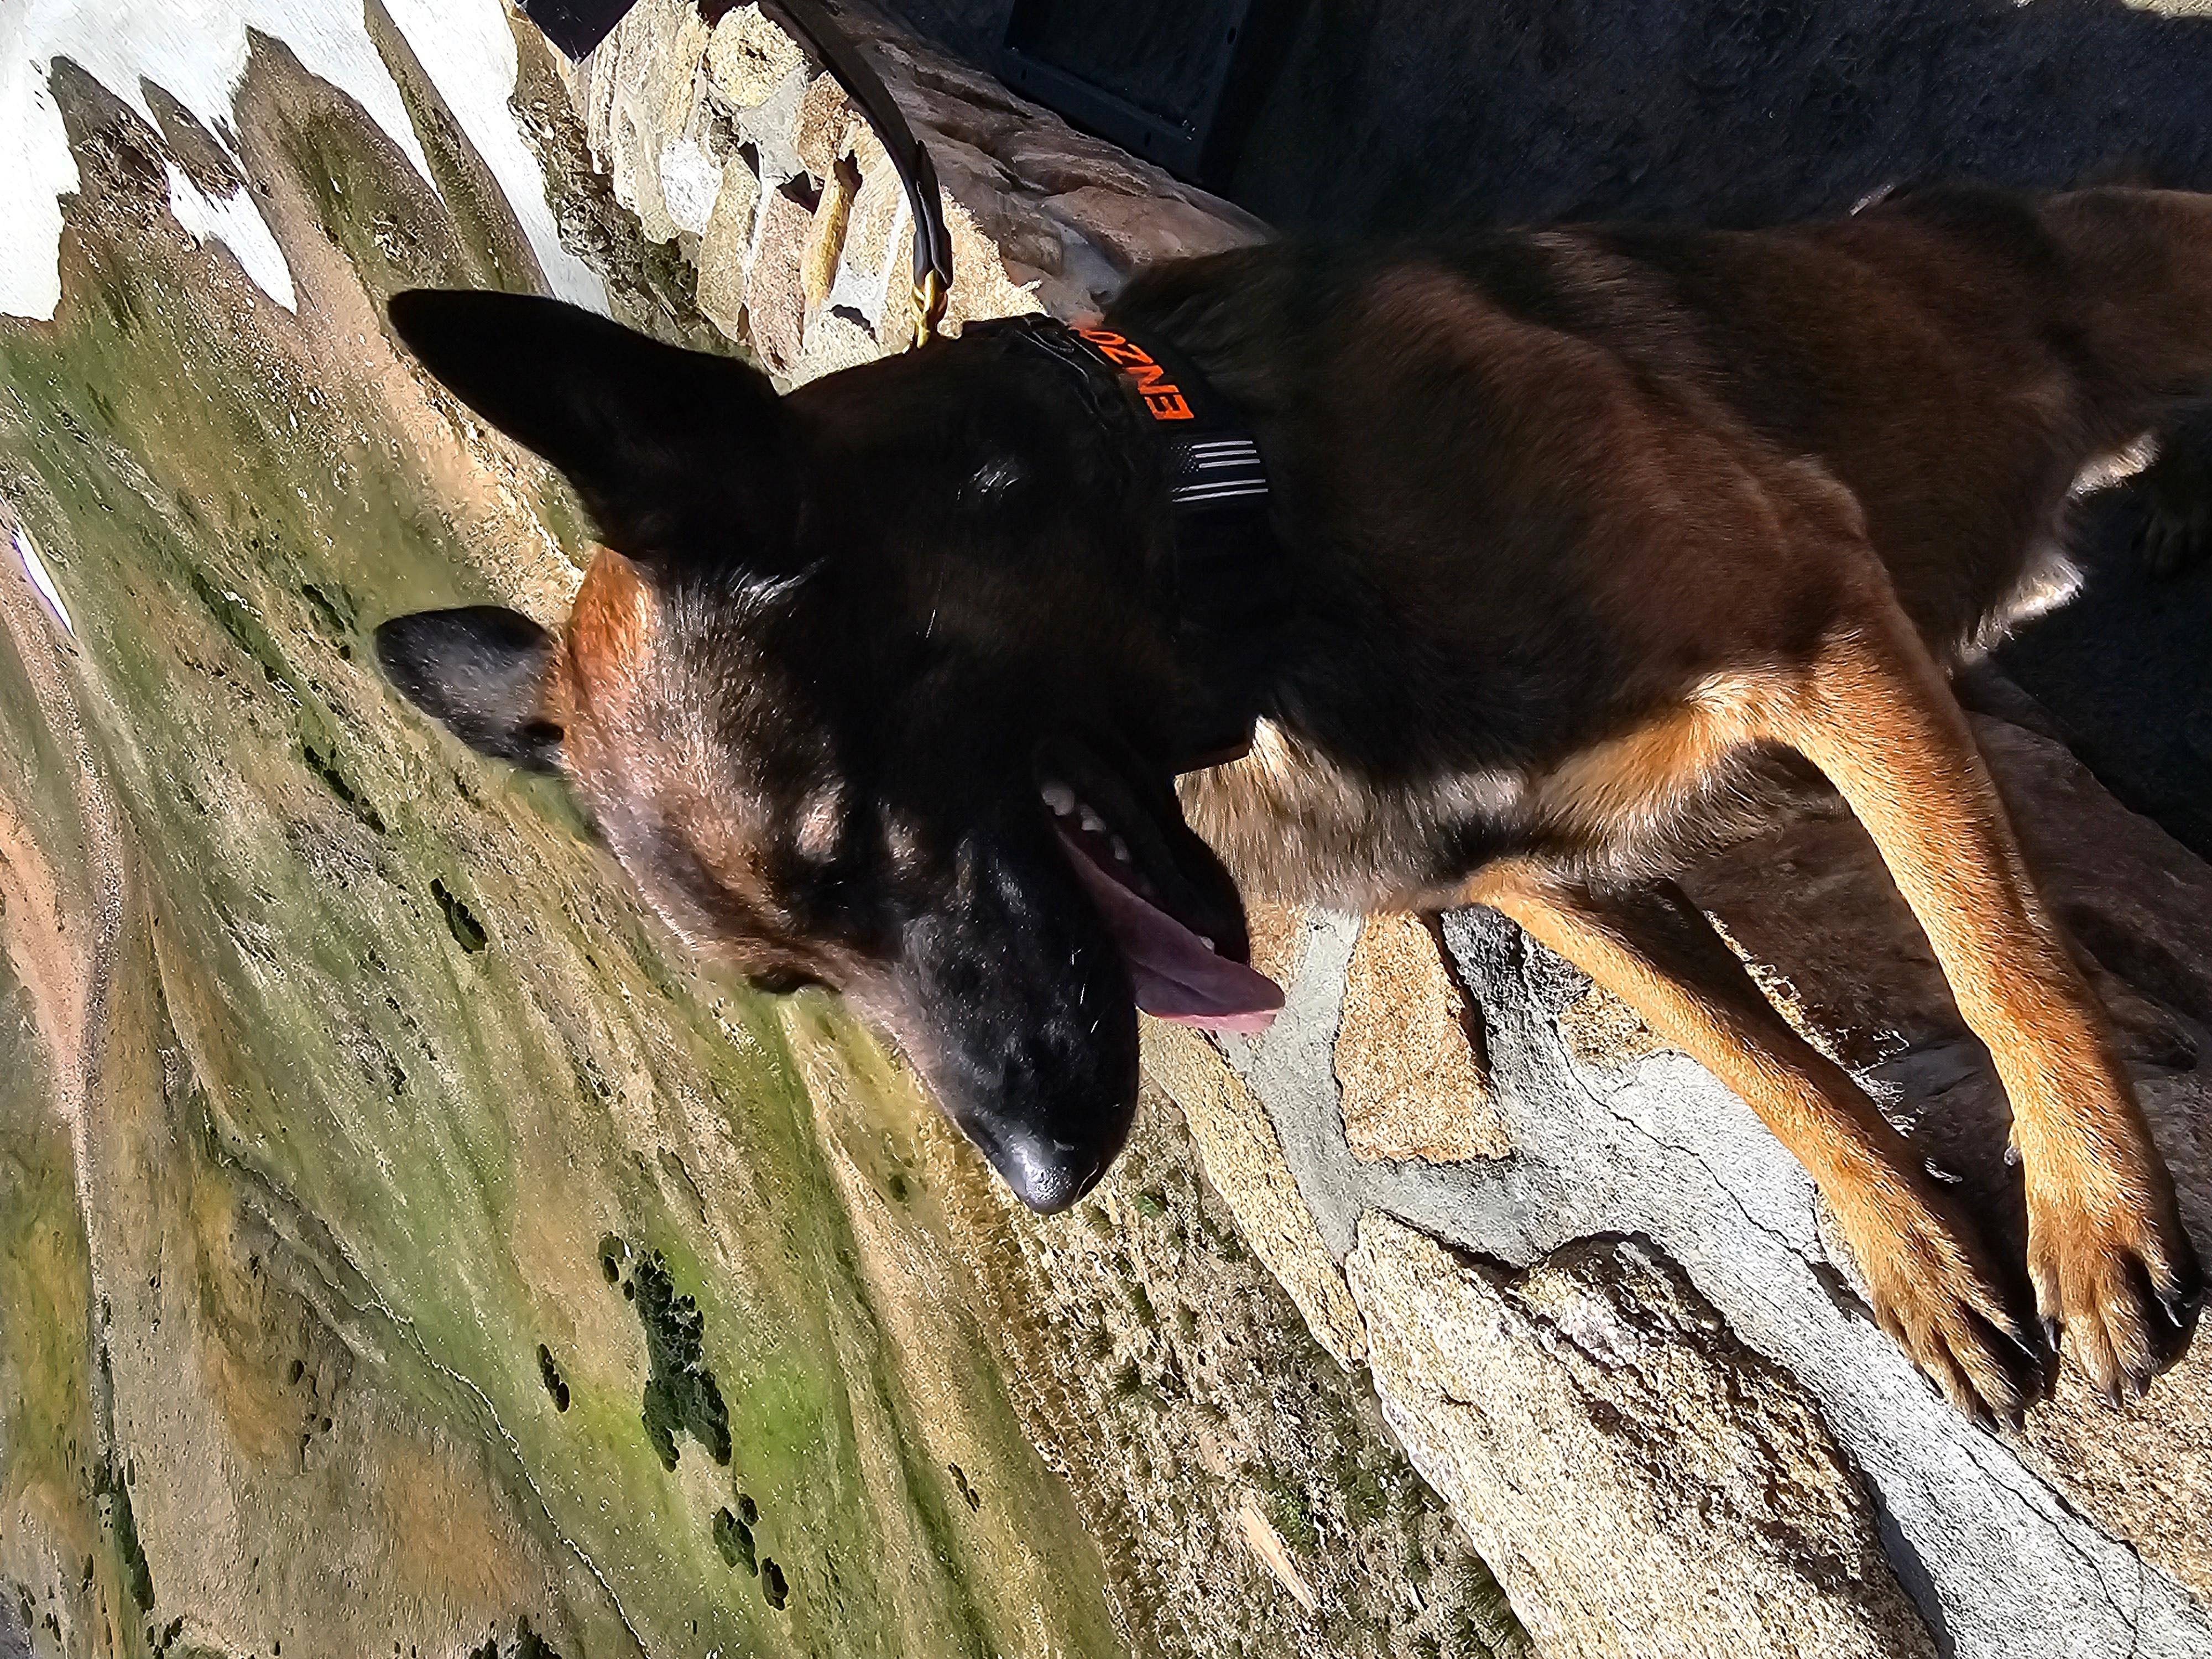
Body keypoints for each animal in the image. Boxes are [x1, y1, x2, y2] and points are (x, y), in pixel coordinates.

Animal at [372, 185, 2203, 1433]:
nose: (1042, 1179)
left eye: (852, 840)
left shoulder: (1822, 638)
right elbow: (1765, 1069)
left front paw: (2090, 1208)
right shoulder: (1551, 876)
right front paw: (1912, 1249)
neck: (1232, 533)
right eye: (788, 986)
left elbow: (1994, 948)